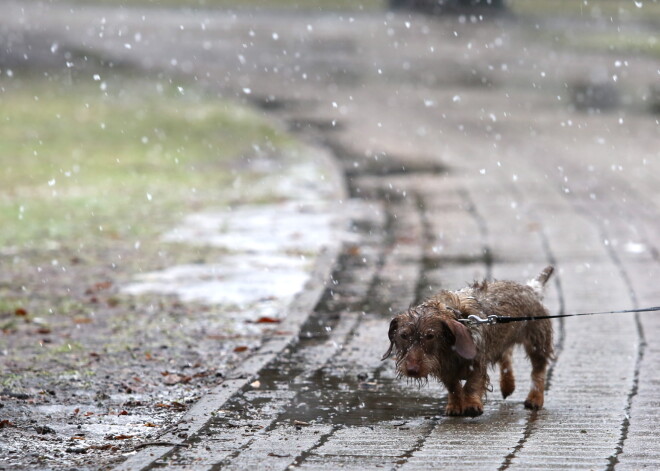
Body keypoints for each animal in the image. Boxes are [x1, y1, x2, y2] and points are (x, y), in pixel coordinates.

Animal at [384, 268, 556, 418]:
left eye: (430, 336)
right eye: (403, 335)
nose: (412, 370)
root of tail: (531, 288)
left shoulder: (477, 362)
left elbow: (471, 384)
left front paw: (472, 405)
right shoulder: (445, 370)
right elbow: (453, 387)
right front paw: (454, 406)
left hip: (537, 341)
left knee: (538, 371)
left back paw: (535, 398)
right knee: (505, 356)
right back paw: (507, 385)